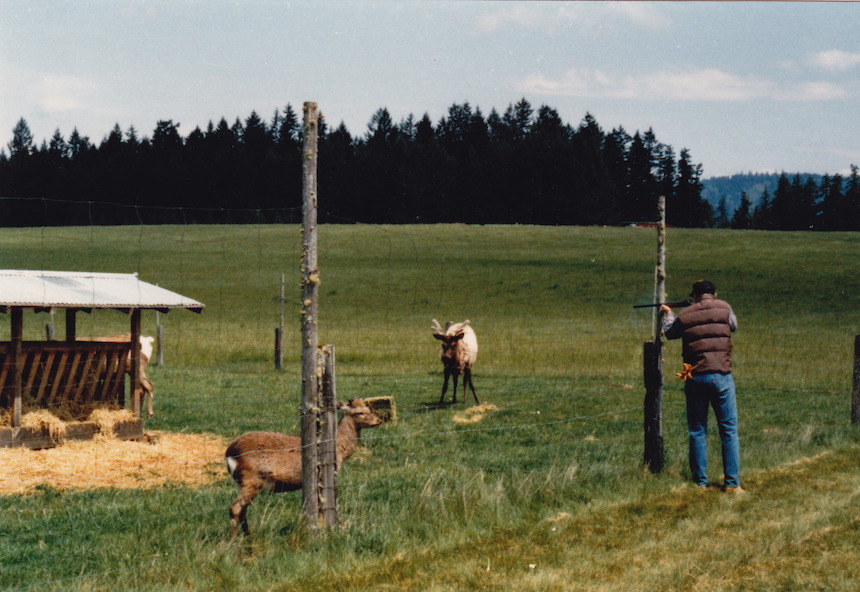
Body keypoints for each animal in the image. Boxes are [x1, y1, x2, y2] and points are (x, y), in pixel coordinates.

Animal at [224, 398, 382, 538]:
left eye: (369, 409)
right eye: (359, 412)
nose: (378, 421)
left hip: (245, 482)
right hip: (252, 478)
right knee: (235, 507)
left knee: (243, 509)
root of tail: (229, 453)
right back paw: (234, 541)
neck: (338, 448)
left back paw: (248, 536)